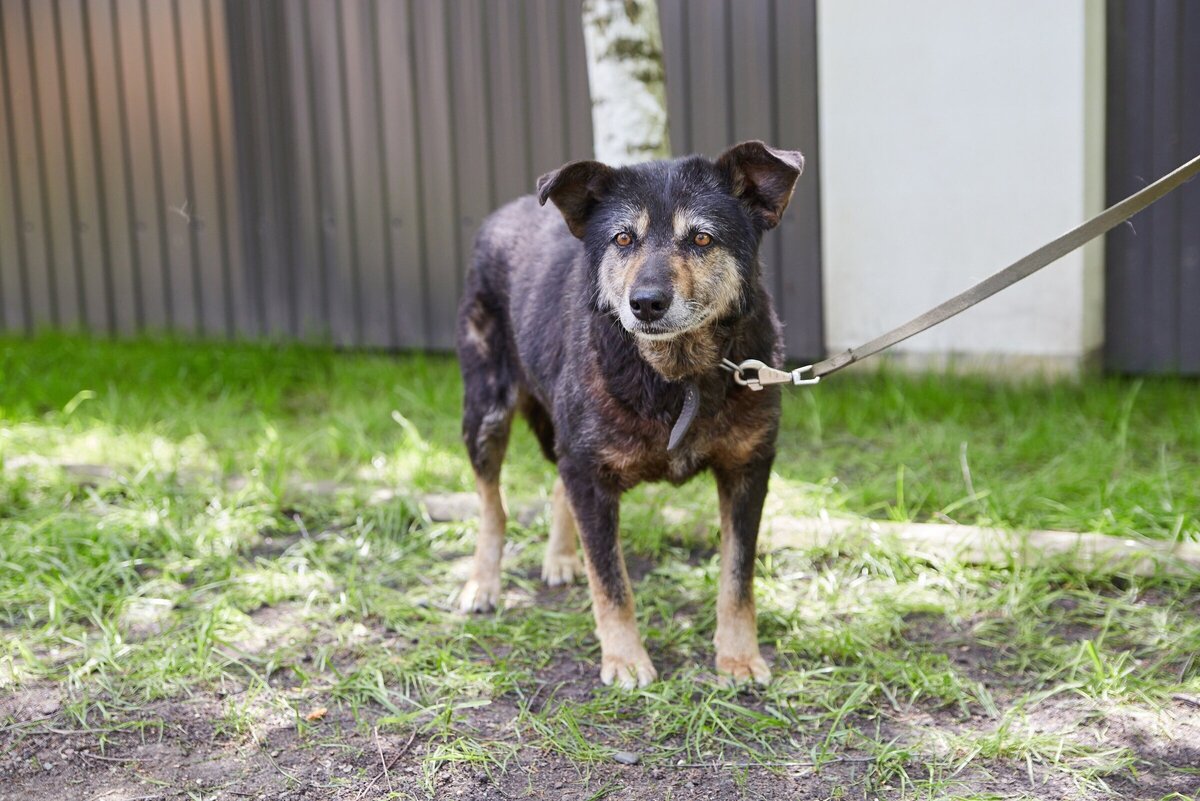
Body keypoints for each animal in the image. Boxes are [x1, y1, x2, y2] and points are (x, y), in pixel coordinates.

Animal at [456, 139, 806, 690]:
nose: (645, 303)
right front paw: (624, 660)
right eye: (623, 238)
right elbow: (611, 581)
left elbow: (737, 577)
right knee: (493, 505)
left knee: (556, 485)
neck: (676, 376)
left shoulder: (747, 469)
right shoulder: (589, 471)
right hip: (486, 413)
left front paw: (738, 657)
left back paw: (560, 557)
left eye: (702, 238)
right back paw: (483, 584)